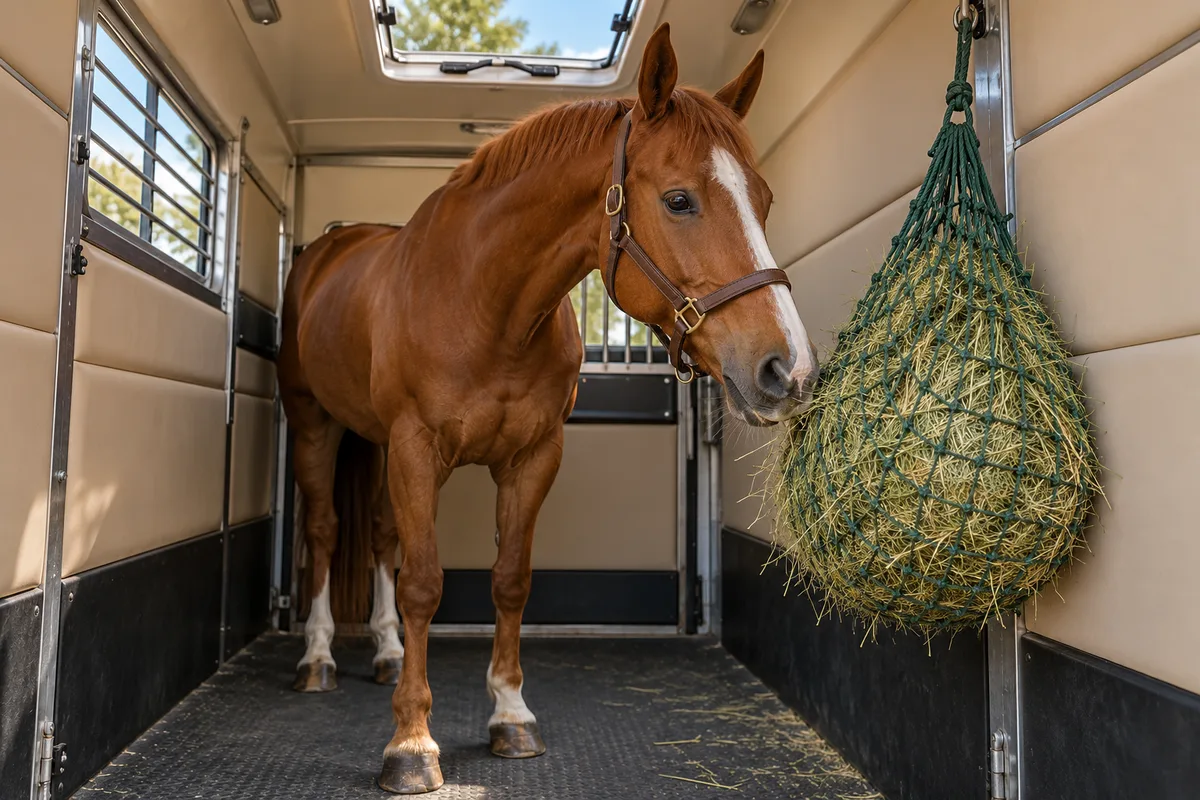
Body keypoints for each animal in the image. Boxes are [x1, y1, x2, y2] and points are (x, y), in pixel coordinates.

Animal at [277, 23, 818, 794]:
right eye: (679, 200)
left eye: (765, 200)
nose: (788, 369)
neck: (485, 304)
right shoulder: (415, 449)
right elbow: (423, 585)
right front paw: (411, 744)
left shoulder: (532, 457)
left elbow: (510, 581)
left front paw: (510, 716)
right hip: (314, 424)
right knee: (324, 533)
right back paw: (318, 657)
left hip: (376, 443)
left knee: (379, 536)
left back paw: (384, 652)